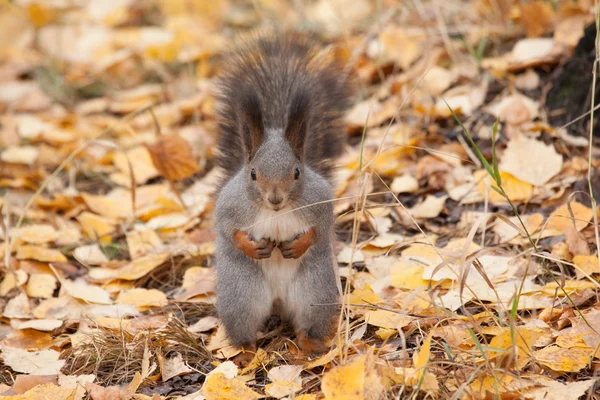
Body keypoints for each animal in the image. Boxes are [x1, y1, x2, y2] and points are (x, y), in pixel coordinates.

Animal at [212, 32, 352, 360]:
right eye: (252, 173)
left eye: (297, 172)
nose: (275, 199)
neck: (276, 212)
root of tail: (277, 302)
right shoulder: (229, 207)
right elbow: (227, 230)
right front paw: (249, 246)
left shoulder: (320, 203)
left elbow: (320, 229)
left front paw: (298, 244)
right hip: (242, 296)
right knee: (244, 328)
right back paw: (247, 351)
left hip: (314, 293)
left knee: (307, 323)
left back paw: (311, 346)